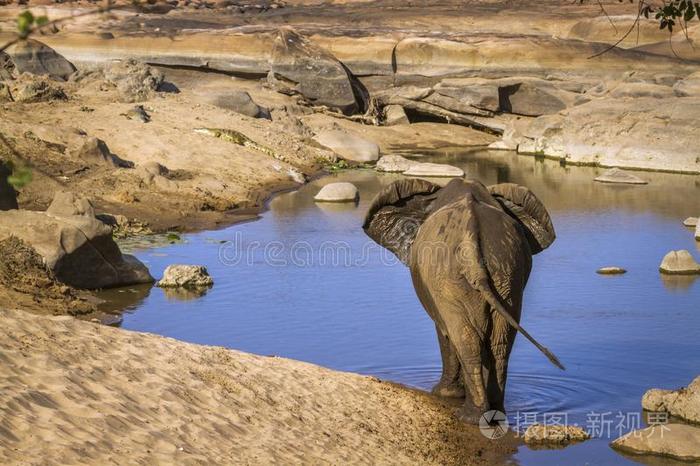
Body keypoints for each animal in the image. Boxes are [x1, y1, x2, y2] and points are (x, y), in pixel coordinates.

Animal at [360, 177, 564, 424]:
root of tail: (471, 246)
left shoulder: (437, 292)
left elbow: (444, 332)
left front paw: (445, 394)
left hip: (449, 281)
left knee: (464, 338)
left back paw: (469, 415)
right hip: (507, 273)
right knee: (499, 343)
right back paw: (494, 413)